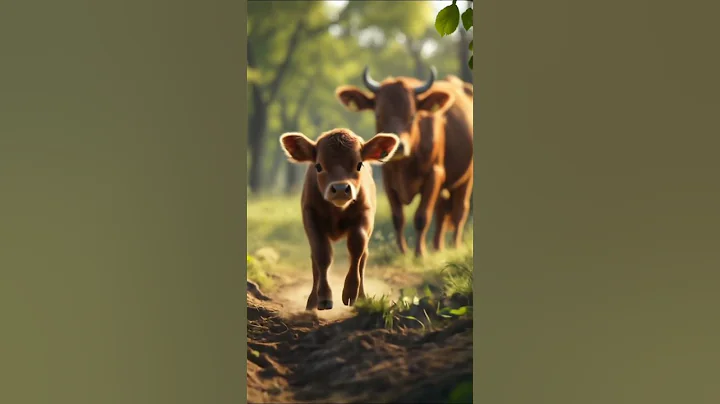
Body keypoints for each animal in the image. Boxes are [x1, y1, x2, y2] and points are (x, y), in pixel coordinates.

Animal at [279, 128, 400, 310]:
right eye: (318, 166)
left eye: (359, 164)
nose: (341, 189)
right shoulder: (310, 216)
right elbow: (322, 254)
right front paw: (323, 297)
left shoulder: (365, 215)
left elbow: (356, 248)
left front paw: (351, 293)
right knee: (315, 260)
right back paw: (312, 301)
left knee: (363, 257)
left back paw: (362, 297)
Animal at [334, 67, 474, 257]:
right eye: (378, 115)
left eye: (412, 115)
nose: (398, 146)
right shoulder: (388, 179)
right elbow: (398, 218)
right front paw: (402, 251)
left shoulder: (434, 174)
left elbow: (422, 216)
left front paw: (419, 253)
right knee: (441, 212)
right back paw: (437, 247)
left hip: (466, 178)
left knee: (460, 211)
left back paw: (454, 245)